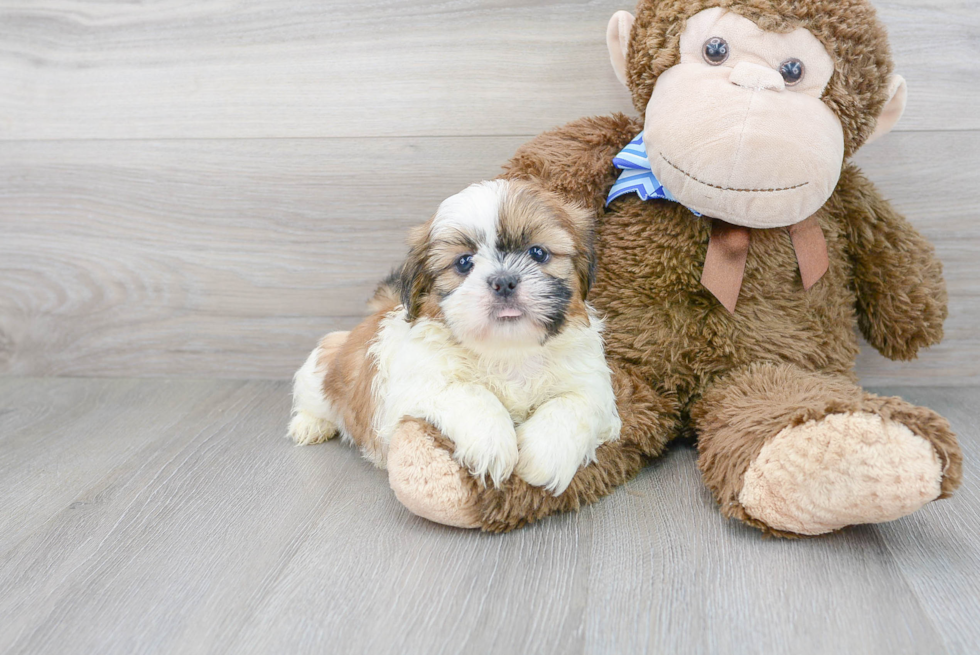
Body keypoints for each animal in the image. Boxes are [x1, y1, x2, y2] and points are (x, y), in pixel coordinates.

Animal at [288, 177, 620, 494]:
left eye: (538, 253)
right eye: (464, 263)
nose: (504, 281)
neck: (508, 350)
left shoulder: (592, 385)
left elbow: (572, 405)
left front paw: (545, 456)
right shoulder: (423, 382)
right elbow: (471, 393)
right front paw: (493, 444)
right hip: (323, 364)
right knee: (313, 397)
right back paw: (310, 424)